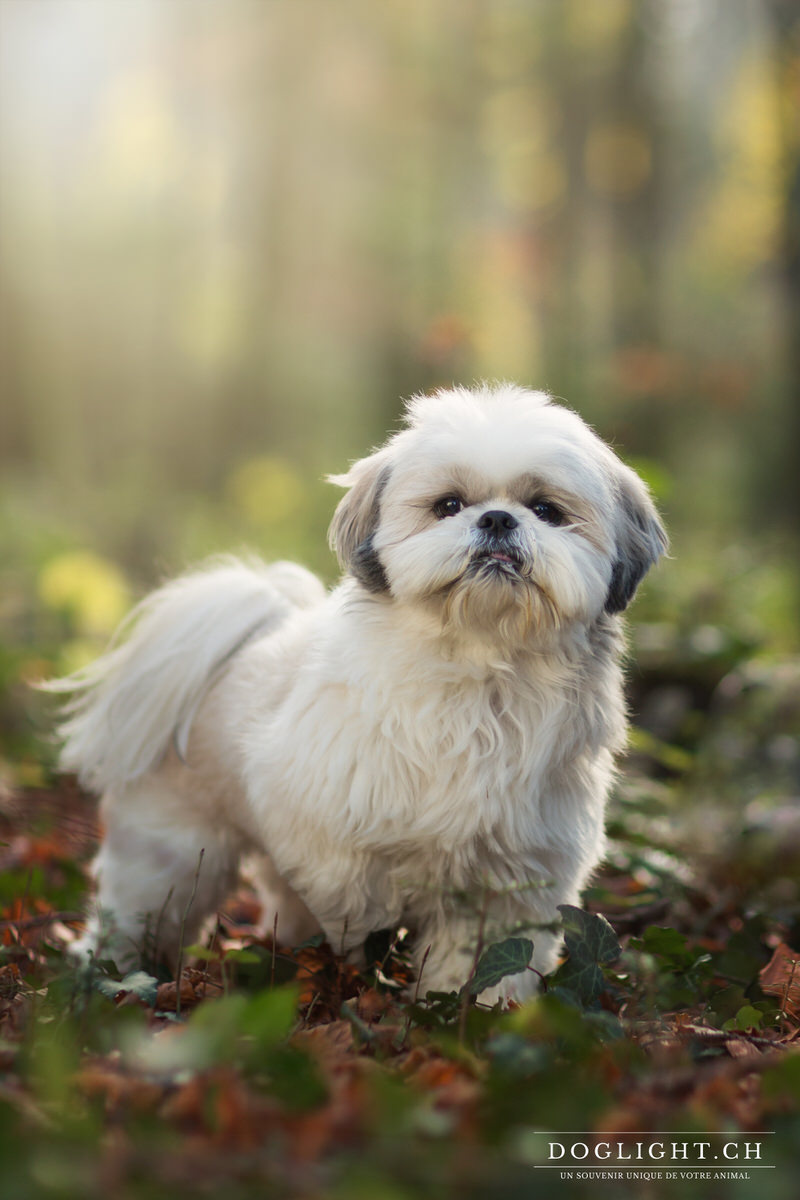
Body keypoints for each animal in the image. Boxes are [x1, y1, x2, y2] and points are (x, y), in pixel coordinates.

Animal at [47, 379, 666, 998]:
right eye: (448, 505)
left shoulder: (518, 873)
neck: (479, 671)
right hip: (170, 850)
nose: (496, 519)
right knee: (142, 908)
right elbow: (356, 902)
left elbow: (492, 959)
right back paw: (115, 974)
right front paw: (365, 957)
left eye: (545, 510)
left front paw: (469, 1004)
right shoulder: (328, 830)